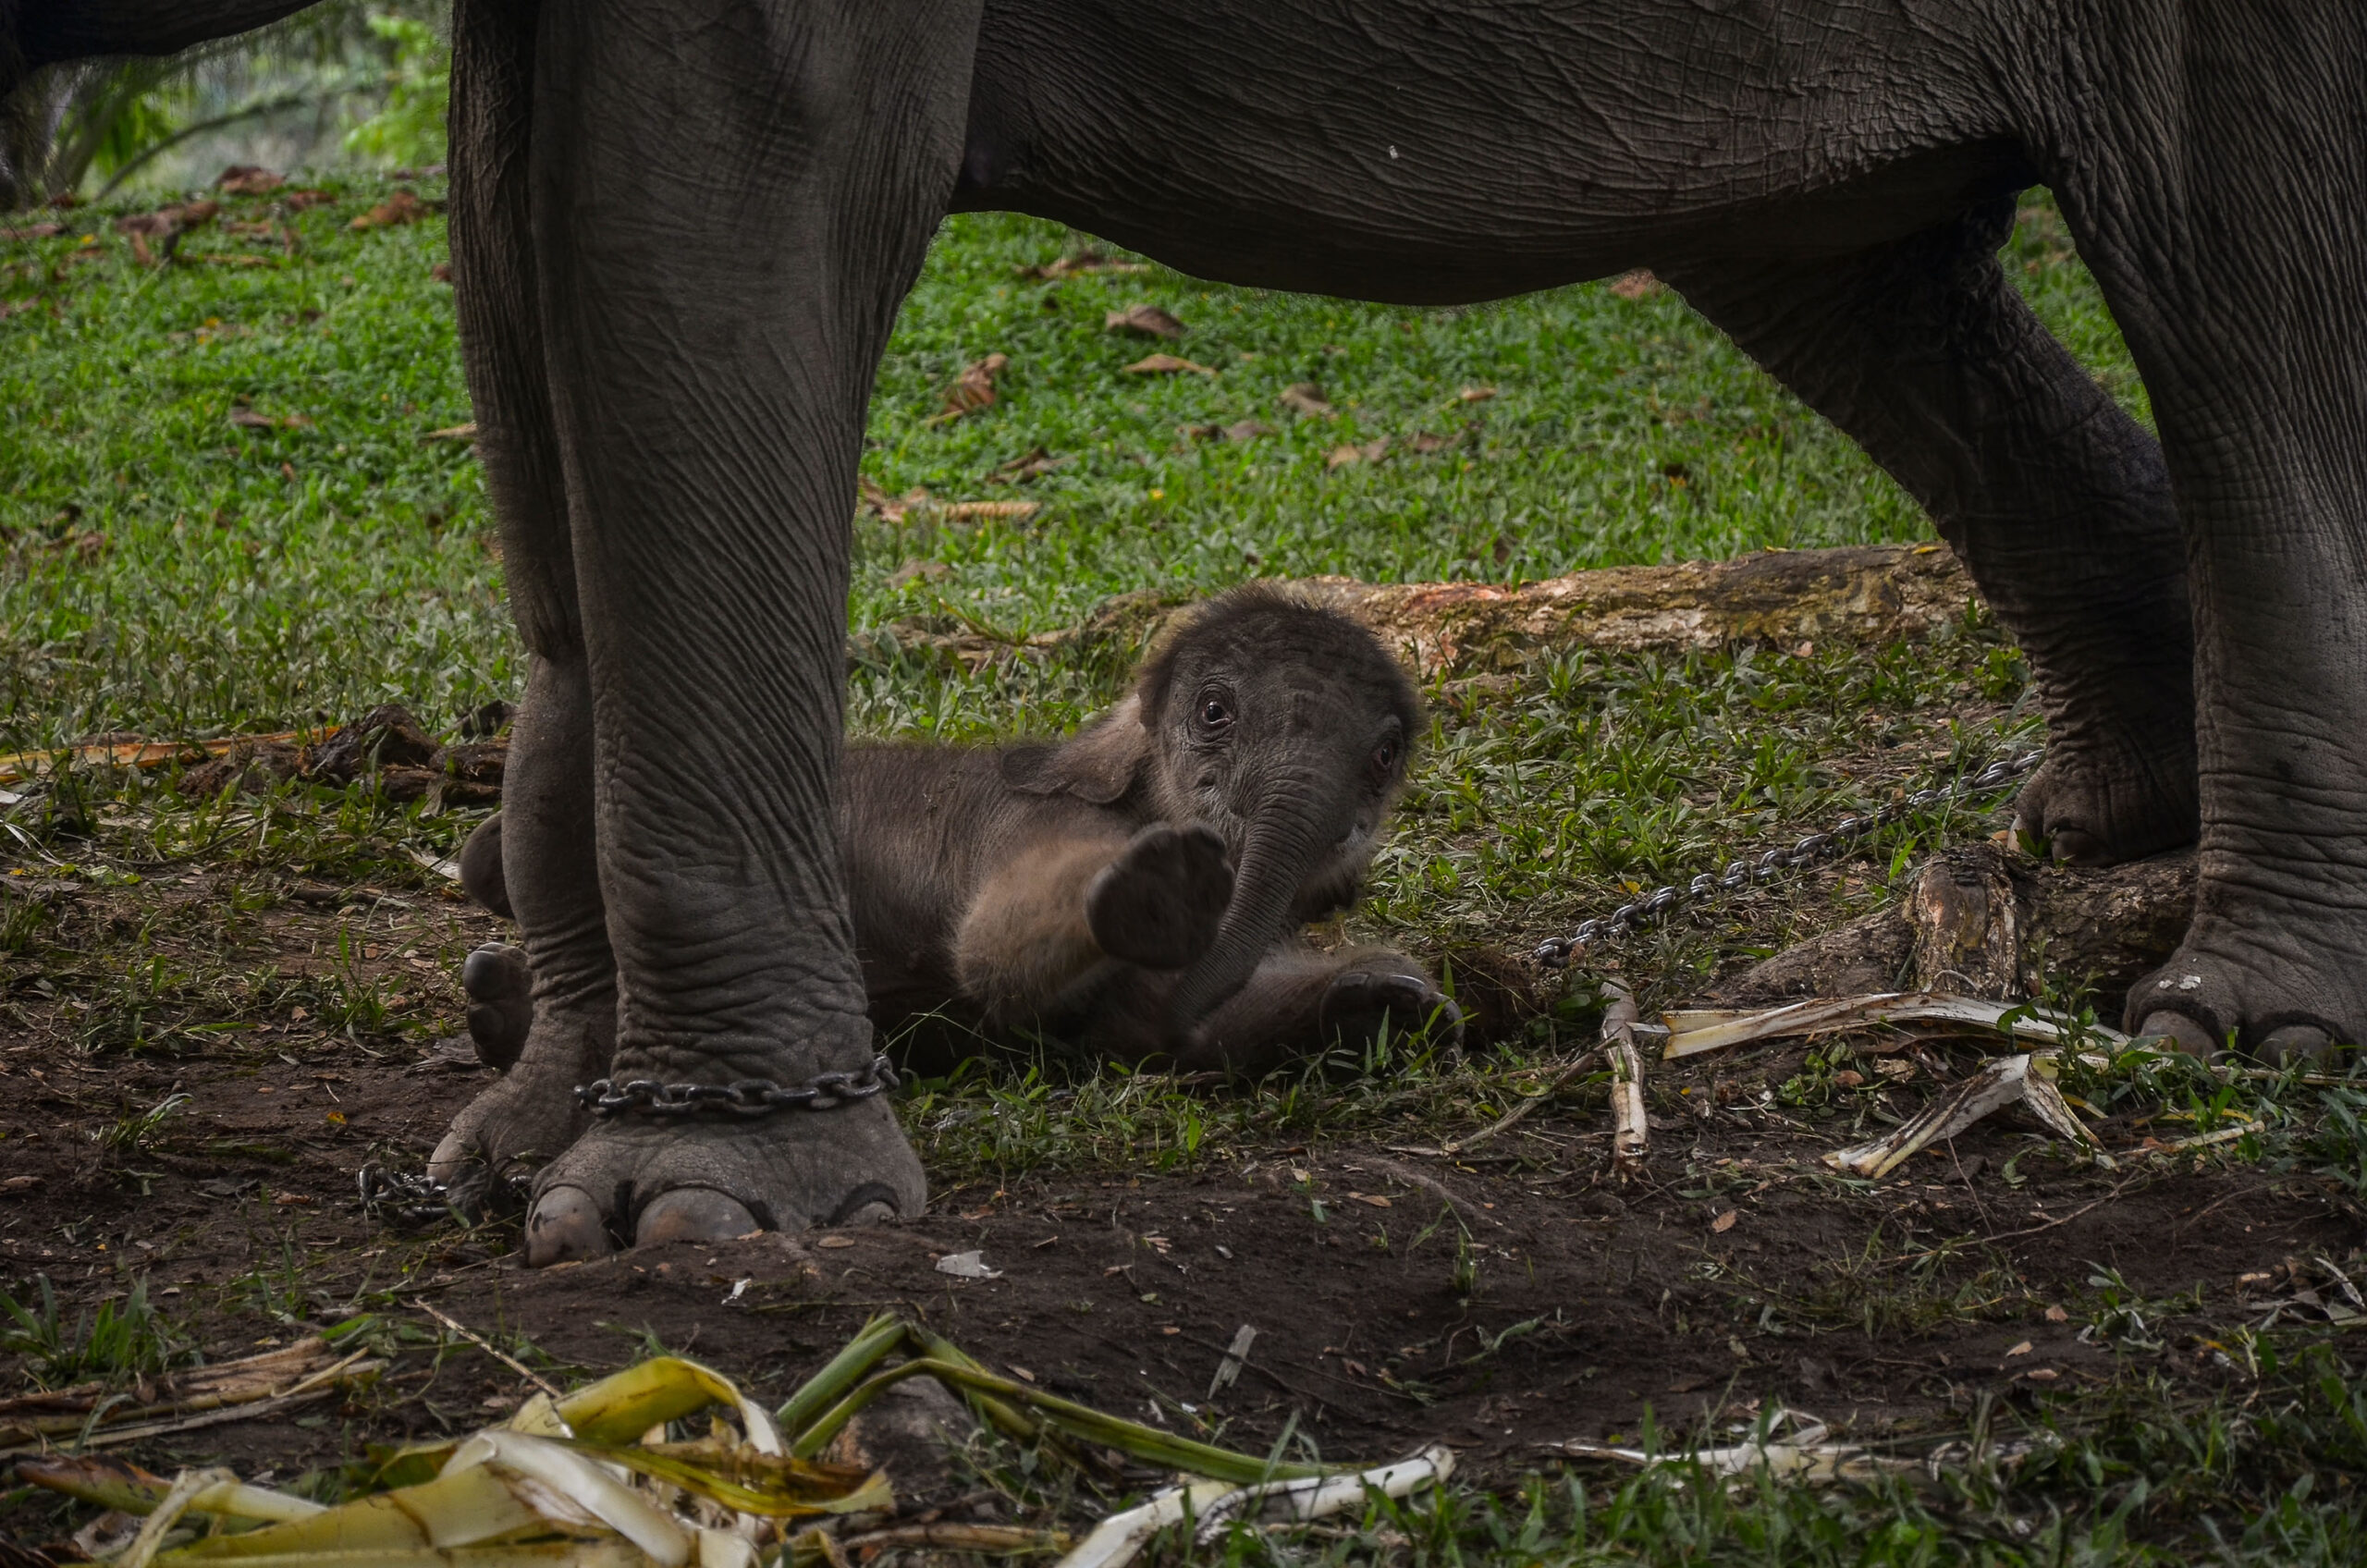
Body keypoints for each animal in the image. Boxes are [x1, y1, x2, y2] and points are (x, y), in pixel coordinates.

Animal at [456, 587, 1459, 1099]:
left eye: (1384, 756)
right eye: (1215, 713)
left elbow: (1149, 1029)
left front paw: (1399, 1001)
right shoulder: (1034, 823)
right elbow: (989, 954)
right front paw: (1165, 889)